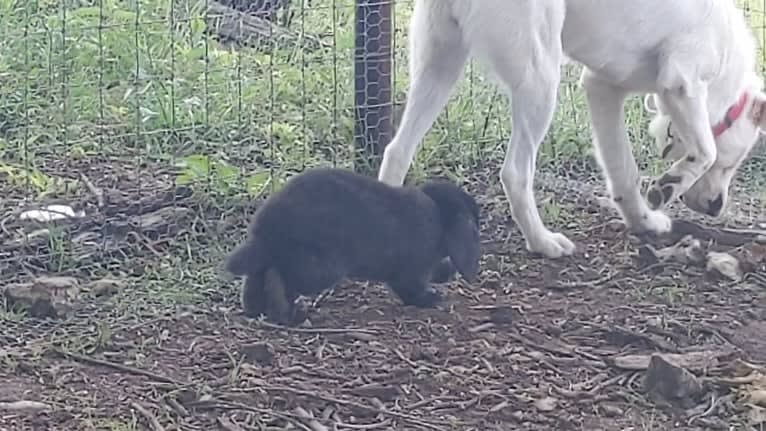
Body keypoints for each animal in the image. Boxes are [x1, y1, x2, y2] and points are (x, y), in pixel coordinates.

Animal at [378, 0, 766, 260]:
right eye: (733, 165)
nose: (716, 209)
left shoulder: (602, 89)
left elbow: (624, 174)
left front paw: (644, 221)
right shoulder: (683, 82)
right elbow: (704, 151)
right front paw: (667, 187)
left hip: (439, 64)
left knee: (397, 151)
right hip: (540, 80)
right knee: (515, 173)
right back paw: (543, 243)